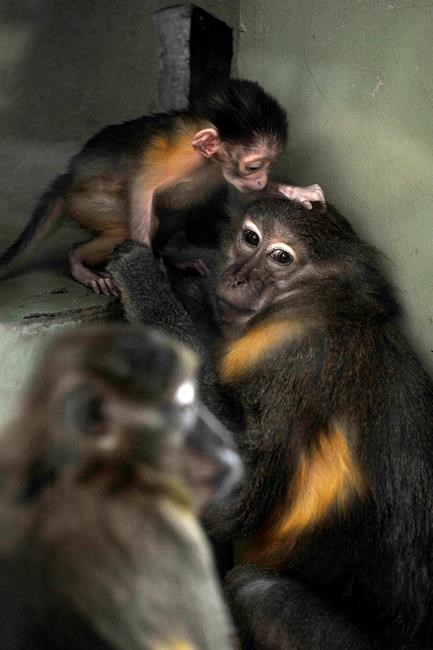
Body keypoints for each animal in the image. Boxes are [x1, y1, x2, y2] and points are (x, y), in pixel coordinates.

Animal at [0, 79, 325, 296]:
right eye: (255, 166)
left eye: (269, 167)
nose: (260, 178)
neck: (208, 159)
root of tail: (69, 179)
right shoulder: (178, 153)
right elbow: (142, 186)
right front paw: (144, 269)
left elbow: (247, 193)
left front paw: (295, 192)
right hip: (86, 202)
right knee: (143, 218)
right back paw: (78, 260)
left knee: (172, 212)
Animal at [106, 198, 433, 649]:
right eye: (250, 238)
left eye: (280, 257)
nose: (238, 278)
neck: (310, 302)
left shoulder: (292, 358)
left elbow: (236, 499)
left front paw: (144, 284)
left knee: (256, 590)